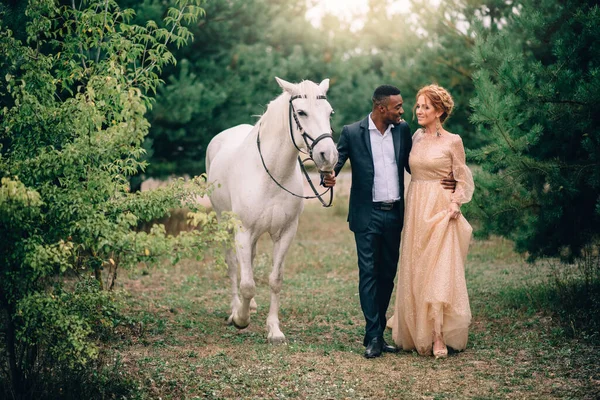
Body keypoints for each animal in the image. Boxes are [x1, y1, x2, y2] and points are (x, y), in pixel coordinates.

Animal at [206, 78, 338, 344]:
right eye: (301, 112)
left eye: (330, 113)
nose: (328, 156)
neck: (270, 173)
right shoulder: (243, 231)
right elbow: (247, 282)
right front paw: (241, 319)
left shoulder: (285, 232)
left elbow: (275, 280)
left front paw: (274, 330)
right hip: (225, 225)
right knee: (233, 265)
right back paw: (235, 309)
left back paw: (251, 306)